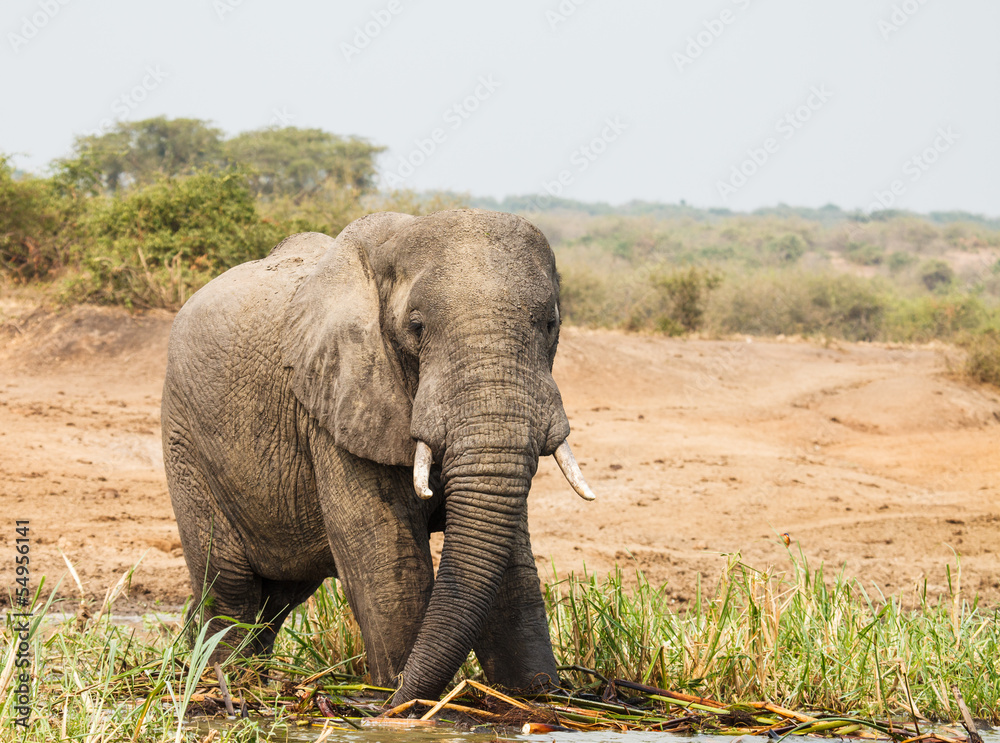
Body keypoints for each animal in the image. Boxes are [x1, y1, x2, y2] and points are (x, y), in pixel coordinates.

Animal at [161, 208, 596, 704]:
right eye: (417, 328)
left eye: (550, 326)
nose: (397, 694)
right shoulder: (337, 405)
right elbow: (388, 557)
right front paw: (400, 698)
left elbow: (512, 561)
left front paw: (537, 695)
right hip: (184, 437)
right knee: (230, 587)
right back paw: (223, 676)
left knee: (278, 596)